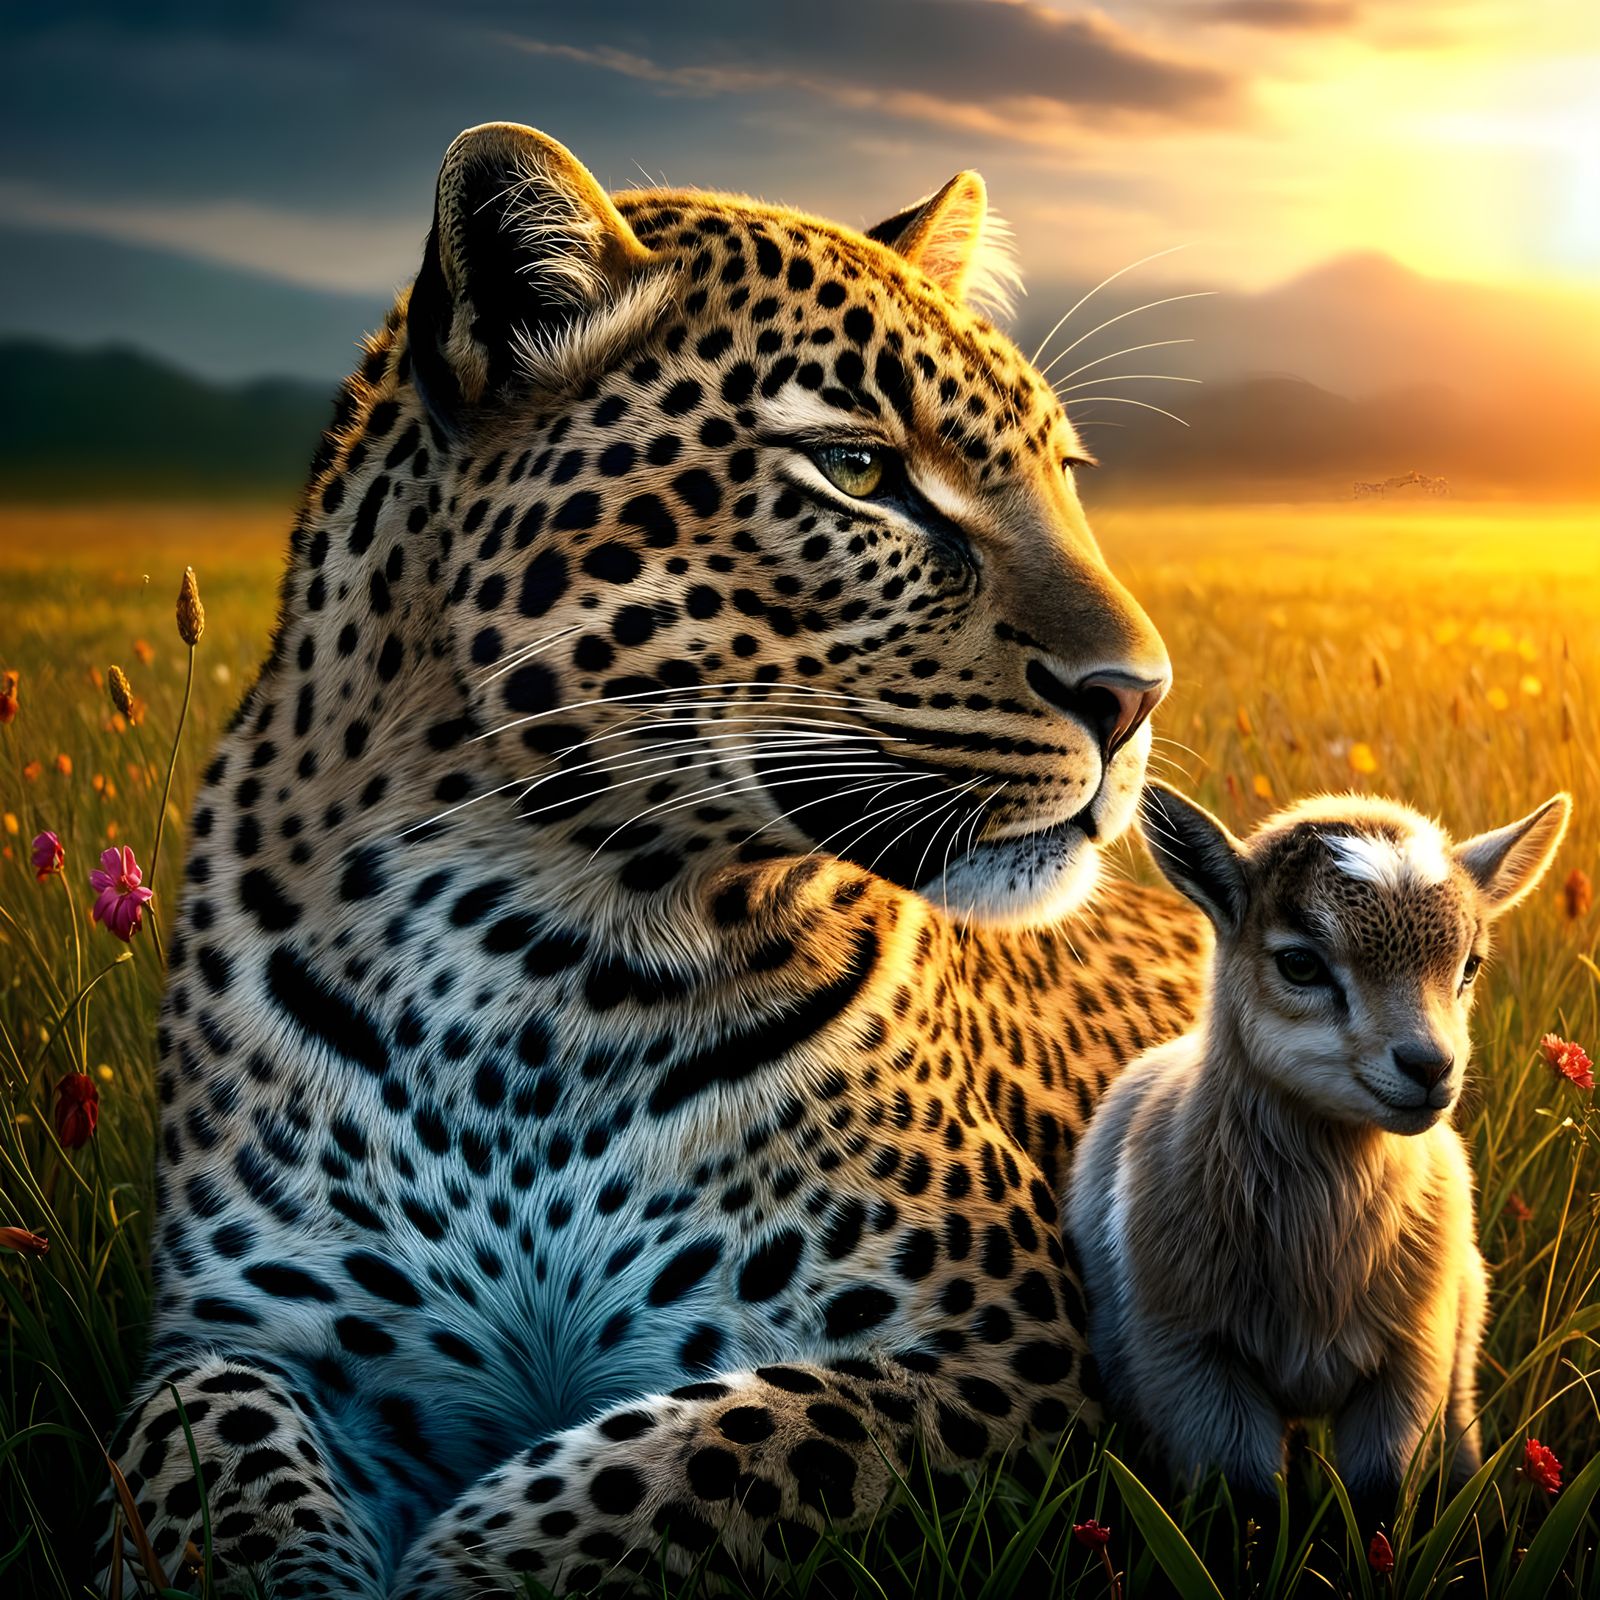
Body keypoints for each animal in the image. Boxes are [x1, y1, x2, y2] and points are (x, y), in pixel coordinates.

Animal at [98, 121, 1208, 1598]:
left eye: (1063, 479)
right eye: (860, 472)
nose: (1137, 694)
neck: (525, 965)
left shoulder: (1005, 1358)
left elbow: (675, 1470)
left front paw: (472, 1567)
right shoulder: (247, 1331)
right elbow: (207, 1467)